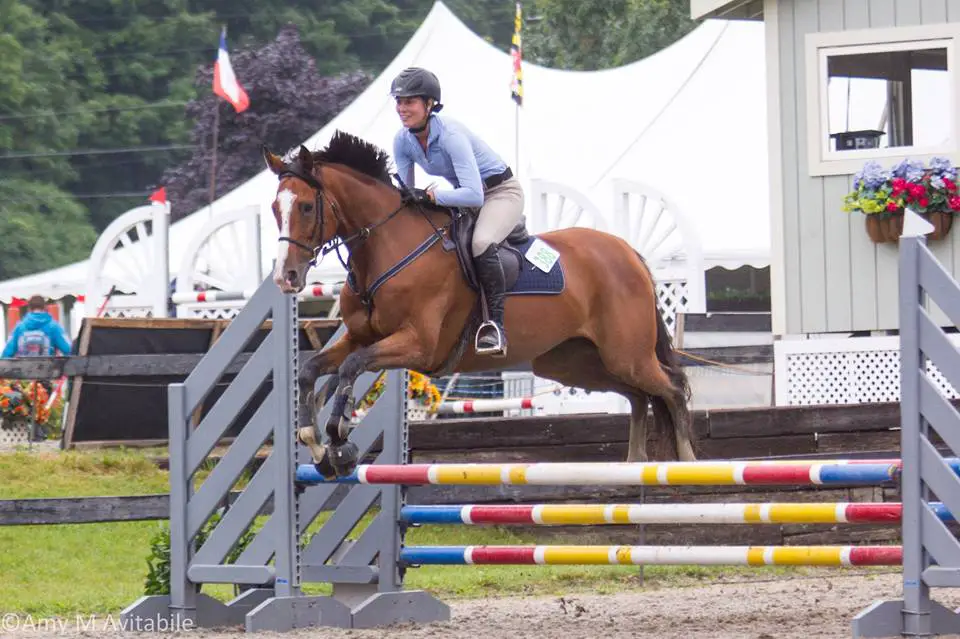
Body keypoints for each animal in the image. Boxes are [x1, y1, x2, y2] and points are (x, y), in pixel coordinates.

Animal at [262, 131, 696, 480]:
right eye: (274, 209)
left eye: (305, 207)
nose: (286, 277)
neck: (385, 248)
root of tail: (627, 252)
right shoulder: (360, 336)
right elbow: (314, 370)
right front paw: (320, 449)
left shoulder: (418, 345)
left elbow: (351, 367)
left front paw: (339, 440)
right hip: (575, 362)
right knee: (639, 396)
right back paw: (636, 464)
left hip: (626, 354)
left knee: (671, 387)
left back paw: (688, 463)